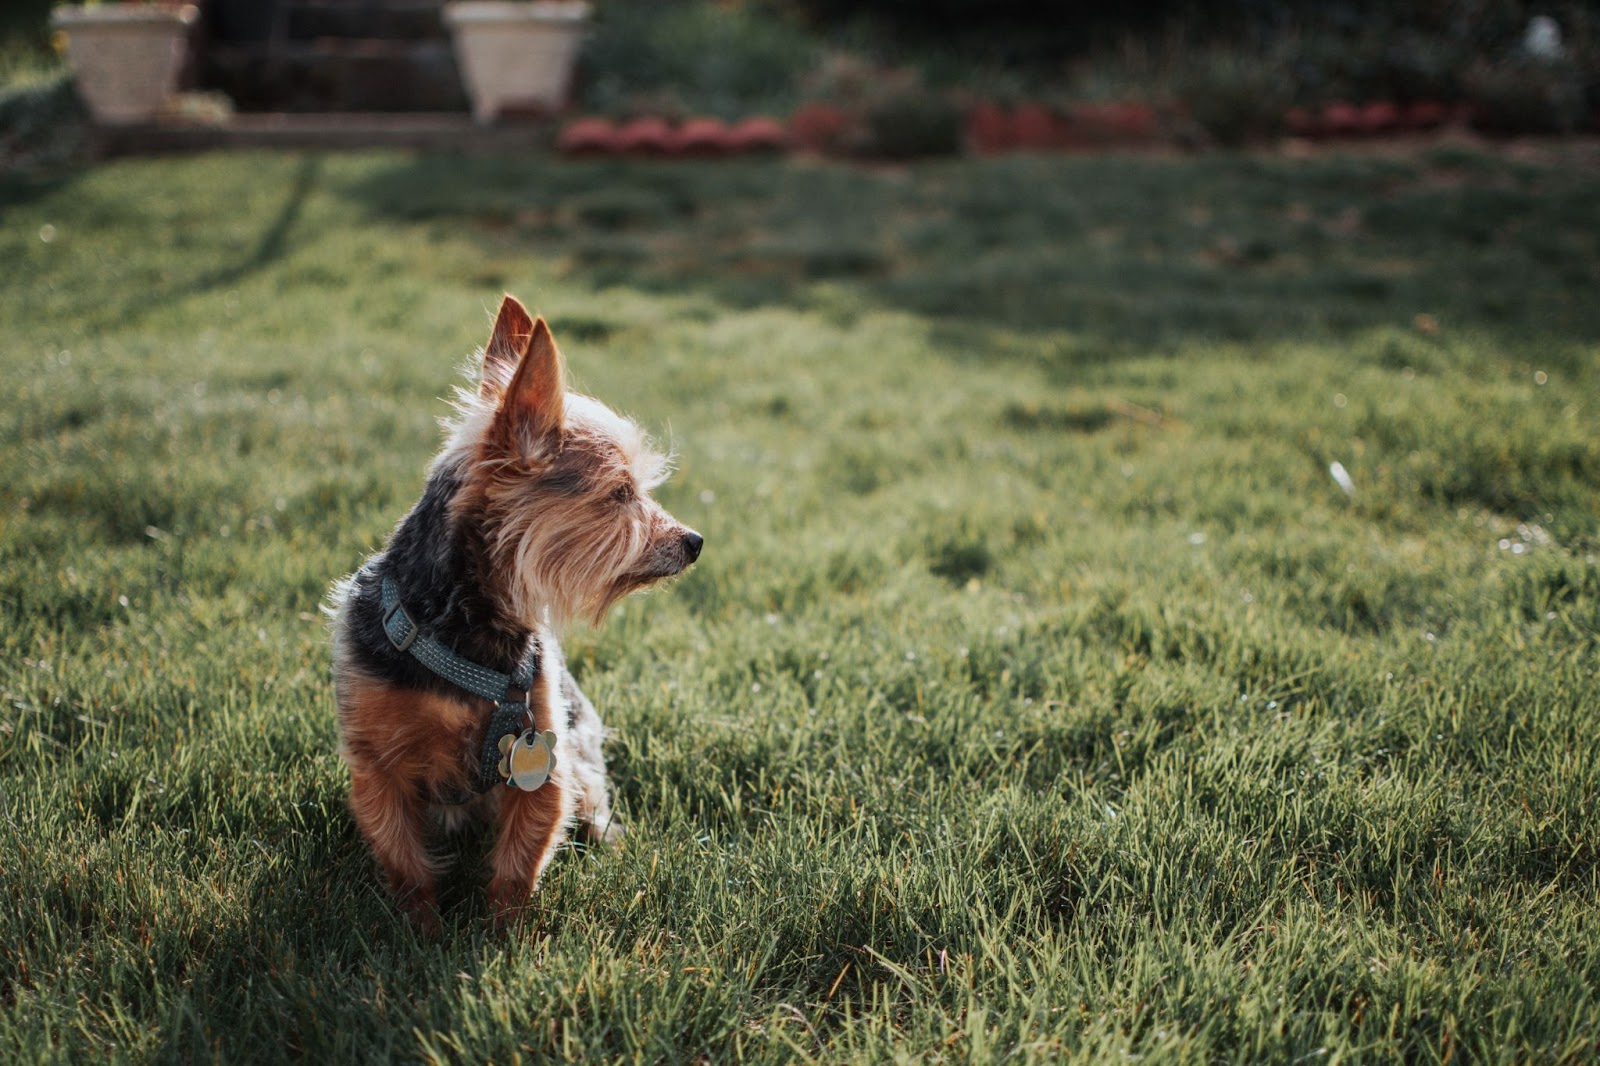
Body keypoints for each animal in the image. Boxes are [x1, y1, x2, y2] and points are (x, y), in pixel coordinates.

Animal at [326, 292, 700, 921]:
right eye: (621, 494)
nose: (695, 541)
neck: (464, 632)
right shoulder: (378, 768)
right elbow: (405, 862)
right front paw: (420, 931)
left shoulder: (544, 759)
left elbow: (518, 865)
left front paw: (504, 934)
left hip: (581, 753)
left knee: (593, 803)